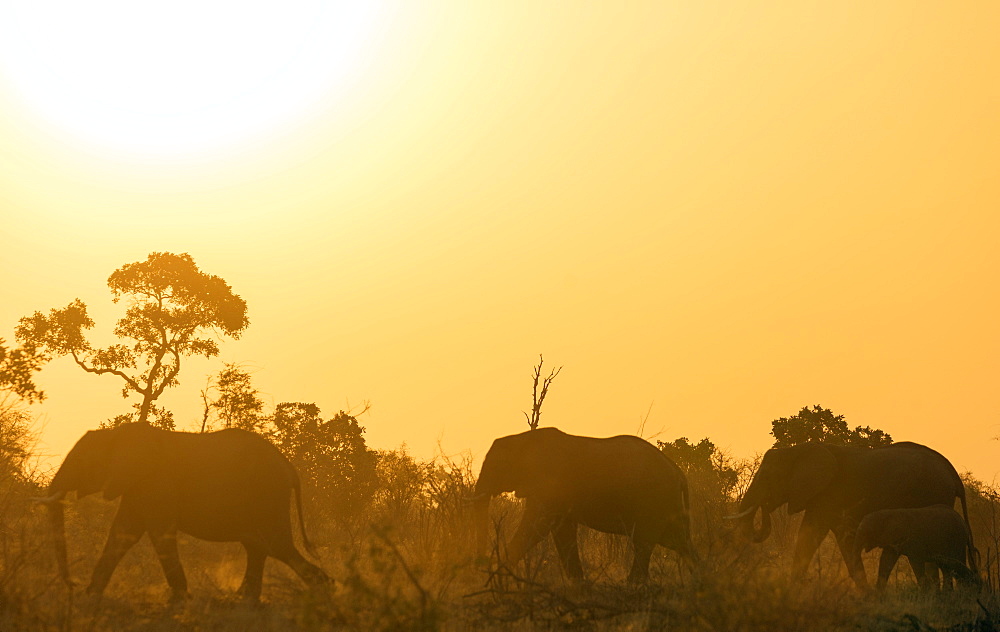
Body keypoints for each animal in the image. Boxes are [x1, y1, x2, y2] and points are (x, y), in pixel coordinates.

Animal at [35, 422, 330, 600]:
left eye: (80, 461)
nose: (71, 585)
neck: (117, 433)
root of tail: (289, 467)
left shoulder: (156, 482)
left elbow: (158, 533)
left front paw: (180, 601)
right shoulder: (136, 485)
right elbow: (123, 533)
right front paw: (91, 596)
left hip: (268, 494)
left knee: (275, 545)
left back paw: (324, 592)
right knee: (258, 546)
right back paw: (243, 600)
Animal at [472, 424, 700, 584]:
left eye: (496, 467)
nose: (481, 561)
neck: (522, 438)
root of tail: (678, 473)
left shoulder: (549, 484)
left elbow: (538, 527)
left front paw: (499, 576)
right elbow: (562, 532)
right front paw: (579, 586)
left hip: (653, 501)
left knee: (645, 543)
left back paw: (633, 586)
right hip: (666, 504)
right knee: (679, 541)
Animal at [732, 440, 972, 592]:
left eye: (768, 477)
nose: (763, 505)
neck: (798, 449)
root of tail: (952, 473)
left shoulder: (831, 494)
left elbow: (820, 535)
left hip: (933, 493)